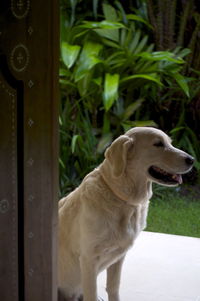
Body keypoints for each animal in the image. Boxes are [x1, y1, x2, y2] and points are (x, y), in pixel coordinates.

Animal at [57, 126, 194, 300]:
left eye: (170, 142)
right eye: (158, 144)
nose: (192, 159)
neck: (120, 196)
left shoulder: (118, 257)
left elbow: (113, 287)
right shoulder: (88, 259)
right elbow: (91, 293)